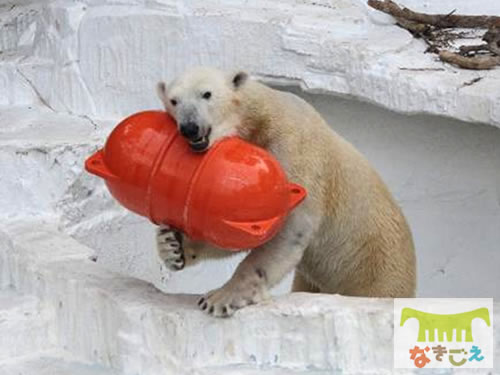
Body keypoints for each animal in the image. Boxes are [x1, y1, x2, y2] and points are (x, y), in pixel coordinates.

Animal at [154, 67, 416, 318]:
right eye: (174, 100)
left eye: (207, 94)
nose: (189, 128)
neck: (261, 119)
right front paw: (173, 245)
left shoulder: (293, 151)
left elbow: (287, 226)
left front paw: (219, 299)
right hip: (314, 280)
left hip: (375, 268)